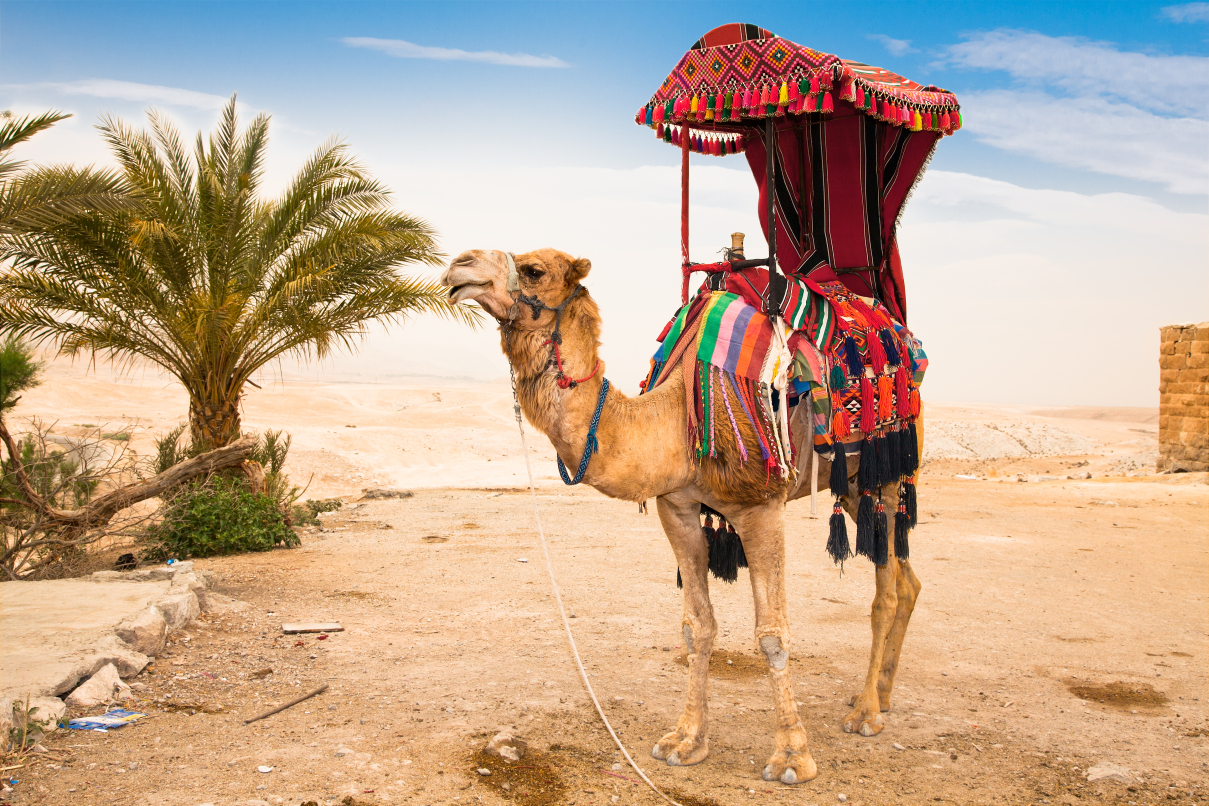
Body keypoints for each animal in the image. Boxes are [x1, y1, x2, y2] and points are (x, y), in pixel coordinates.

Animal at [440, 248, 918, 783]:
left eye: (534, 269)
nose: (460, 266)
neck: (671, 419)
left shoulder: (761, 507)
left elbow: (772, 634)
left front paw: (792, 756)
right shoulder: (678, 509)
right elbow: (697, 626)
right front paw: (686, 740)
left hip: (887, 467)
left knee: (886, 591)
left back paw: (867, 713)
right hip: (854, 486)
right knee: (907, 581)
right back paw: (880, 694)